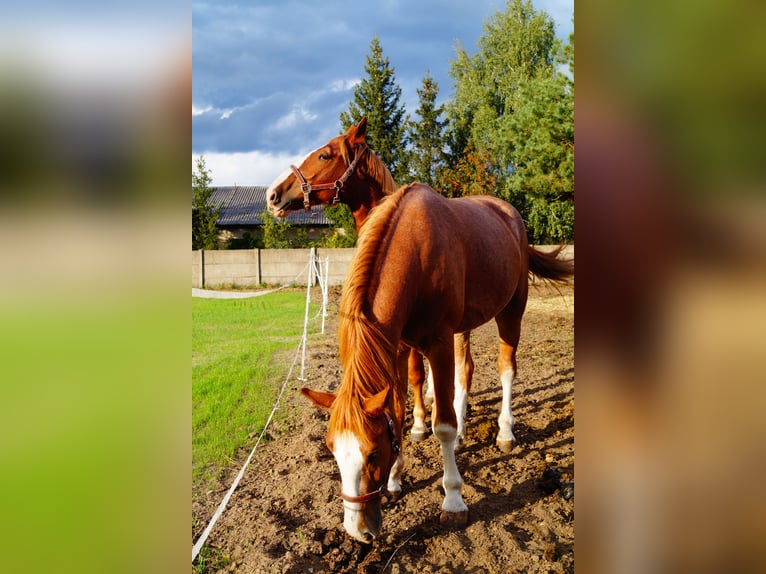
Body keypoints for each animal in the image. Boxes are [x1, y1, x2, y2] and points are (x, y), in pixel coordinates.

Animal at [268, 117, 474, 448]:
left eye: (324, 155)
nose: (272, 194)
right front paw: (415, 420)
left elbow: (416, 373)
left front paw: (419, 424)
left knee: (463, 366)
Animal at [296, 181, 572, 544]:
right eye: (331, 450)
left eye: (372, 453)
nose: (359, 531)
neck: (414, 253)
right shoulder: (399, 348)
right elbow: (398, 413)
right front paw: (395, 480)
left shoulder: (438, 345)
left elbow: (442, 425)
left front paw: (453, 500)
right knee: (465, 372)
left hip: (512, 311)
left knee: (507, 370)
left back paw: (505, 432)